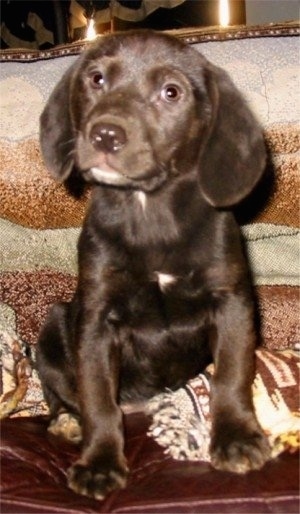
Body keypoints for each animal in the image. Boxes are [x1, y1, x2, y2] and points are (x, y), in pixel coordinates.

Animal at [36, 31, 270, 496]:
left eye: (171, 92)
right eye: (96, 78)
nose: (105, 135)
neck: (150, 213)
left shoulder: (232, 303)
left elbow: (232, 376)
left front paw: (236, 438)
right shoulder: (95, 319)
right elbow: (97, 399)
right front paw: (99, 462)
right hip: (53, 324)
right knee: (61, 393)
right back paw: (66, 422)